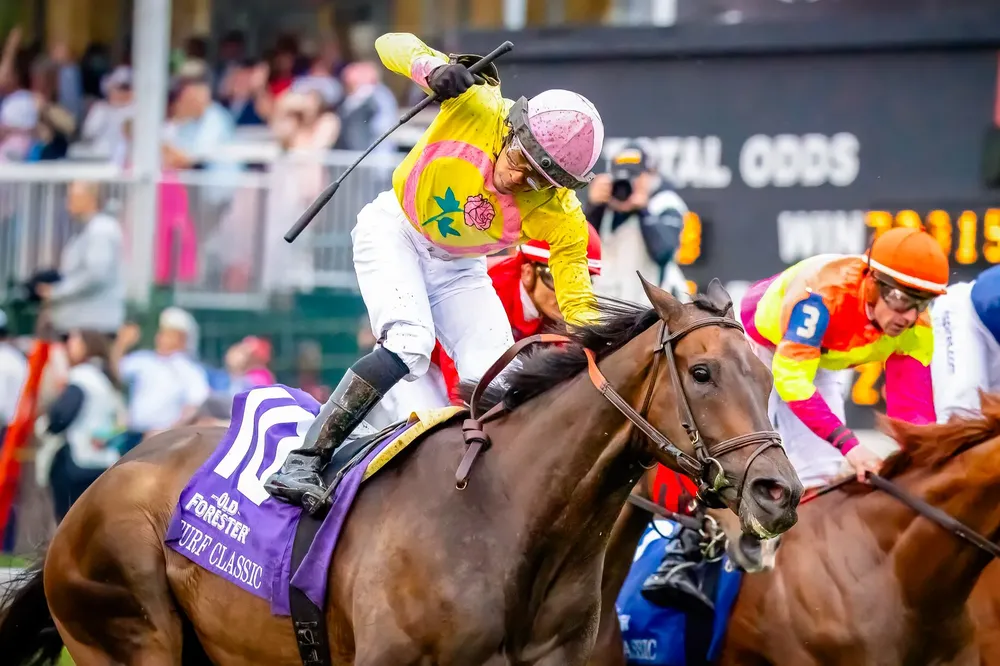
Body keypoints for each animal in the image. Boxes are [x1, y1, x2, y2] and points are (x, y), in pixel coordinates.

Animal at [0, 279, 803, 666]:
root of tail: (96, 489)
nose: (779, 493)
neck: (509, 518)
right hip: (127, 633)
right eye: (701, 373)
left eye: (768, 377)